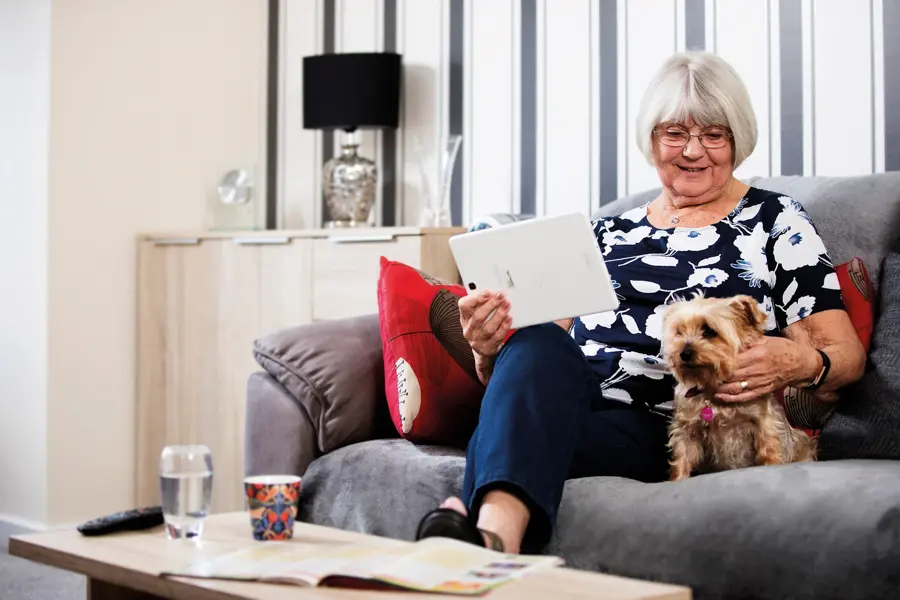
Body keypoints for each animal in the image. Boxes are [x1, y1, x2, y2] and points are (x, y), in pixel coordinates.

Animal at [660, 292, 816, 480]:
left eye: (709, 331)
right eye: (679, 331)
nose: (684, 353)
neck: (711, 389)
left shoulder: (764, 423)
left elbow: (769, 451)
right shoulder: (687, 430)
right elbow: (682, 459)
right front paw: (678, 479)